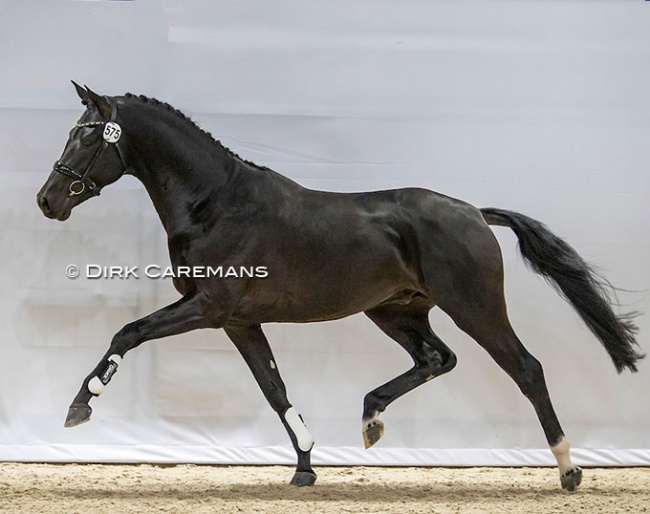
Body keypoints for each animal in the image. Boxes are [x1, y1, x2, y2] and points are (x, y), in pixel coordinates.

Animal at [35, 83, 636, 488]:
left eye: (86, 136)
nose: (47, 200)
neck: (217, 204)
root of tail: (474, 213)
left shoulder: (209, 307)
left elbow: (128, 332)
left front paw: (78, 408)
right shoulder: (238, 321)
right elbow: (274, 390)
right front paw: (305, 467)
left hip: (475, 306)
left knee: (526, 369)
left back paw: (569, 471)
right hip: (397, 312)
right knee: (438, 359)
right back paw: (371, 418)